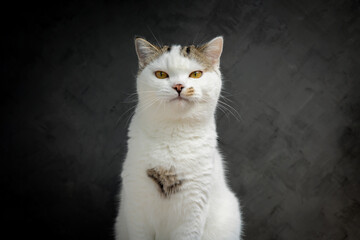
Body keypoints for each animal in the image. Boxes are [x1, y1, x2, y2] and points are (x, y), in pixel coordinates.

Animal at [114, 36, 242, 240]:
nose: (179, 86)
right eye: (160, 74)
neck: (173, 132)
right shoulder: (137, 204)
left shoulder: (193, 209)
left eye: (196, 74)